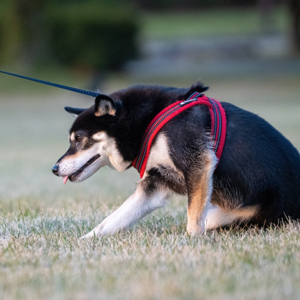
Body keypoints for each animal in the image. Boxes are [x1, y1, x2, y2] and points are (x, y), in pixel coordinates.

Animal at [51, 82, 300, 237]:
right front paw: (84, 243)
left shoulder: (198, 163)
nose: (54, 168)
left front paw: (192, 241)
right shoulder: (155, 184)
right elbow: (110, 222)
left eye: (78, 139)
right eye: (72, 140)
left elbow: (193, 217)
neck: (145, 123)